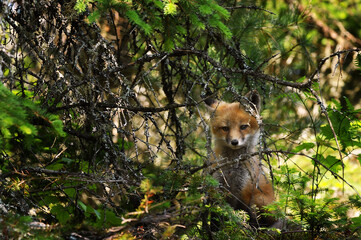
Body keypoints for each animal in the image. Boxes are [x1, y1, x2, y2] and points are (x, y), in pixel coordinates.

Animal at [205, 90, 276, 229]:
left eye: (243, 127)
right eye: (225, 128)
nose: (234, 142)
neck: (232, 167)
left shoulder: (244, 190)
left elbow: (243, 213)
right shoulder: (217, 186)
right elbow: (216, 214)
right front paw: (214, 230)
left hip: (260, 200)